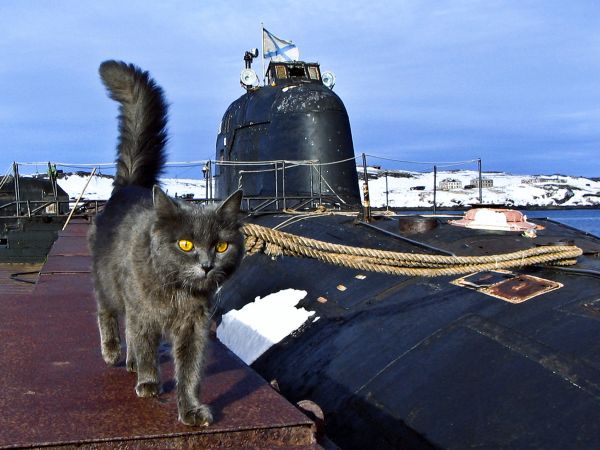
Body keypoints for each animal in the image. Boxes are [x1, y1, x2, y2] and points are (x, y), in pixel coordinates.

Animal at [88, 59, 243, 426]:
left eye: (221, 246)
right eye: (185, 244)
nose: (206, 265)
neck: (177, 292)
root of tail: (129, 186)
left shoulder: (194, 326)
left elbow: (190, 370)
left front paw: (190, 409)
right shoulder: (143, 311)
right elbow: (145, 345)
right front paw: (148, 382)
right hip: (108, 282)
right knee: (107, 312)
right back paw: (114, 352)